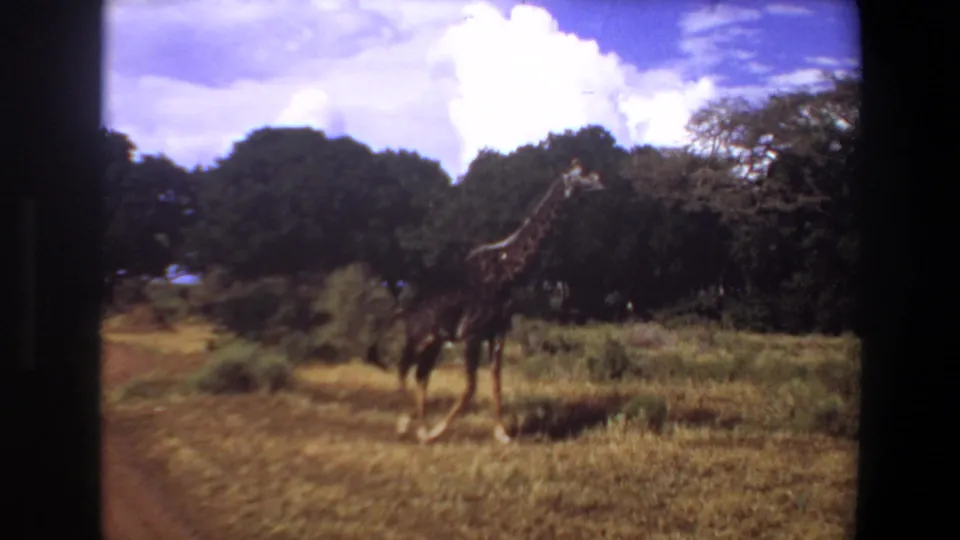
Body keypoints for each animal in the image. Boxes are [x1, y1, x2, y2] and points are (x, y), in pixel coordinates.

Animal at [365, 158, 604, 444]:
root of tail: (402, 307)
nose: (599, 180)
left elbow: (495, 381)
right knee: (404, 370)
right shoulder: (472, 333)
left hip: (434, 340)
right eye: (579, 175)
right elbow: (471, 386)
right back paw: (408, 425)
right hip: (417, 335)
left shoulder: (497, 331)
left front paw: (503, 434)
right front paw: (438, 430)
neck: (506, 273)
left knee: (421, 374)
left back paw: (419, 426)